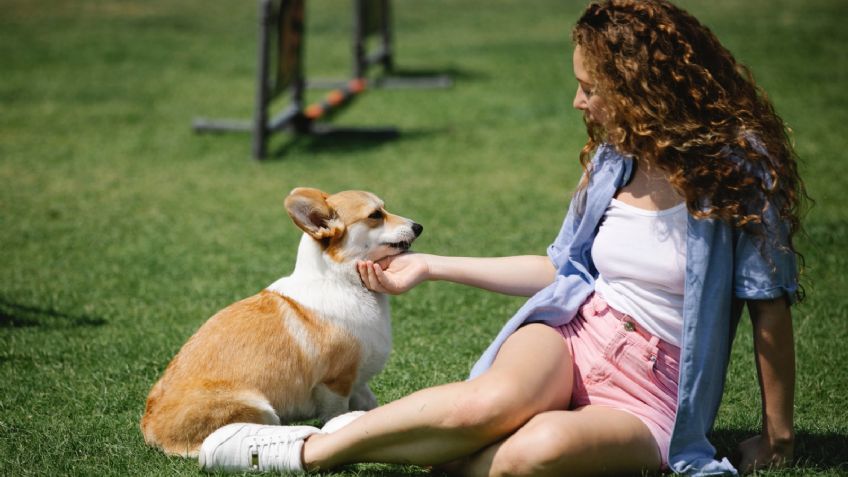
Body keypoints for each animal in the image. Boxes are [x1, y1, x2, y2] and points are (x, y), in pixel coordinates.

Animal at [141, 186, 422, 454]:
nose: (418, 226)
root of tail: (149, 428)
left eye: (384, 208)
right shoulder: (335, 383)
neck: (342, 281)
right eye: (375, 215)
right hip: (259, 407)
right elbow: (337, 414)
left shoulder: (358, 381)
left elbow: (371, 404)